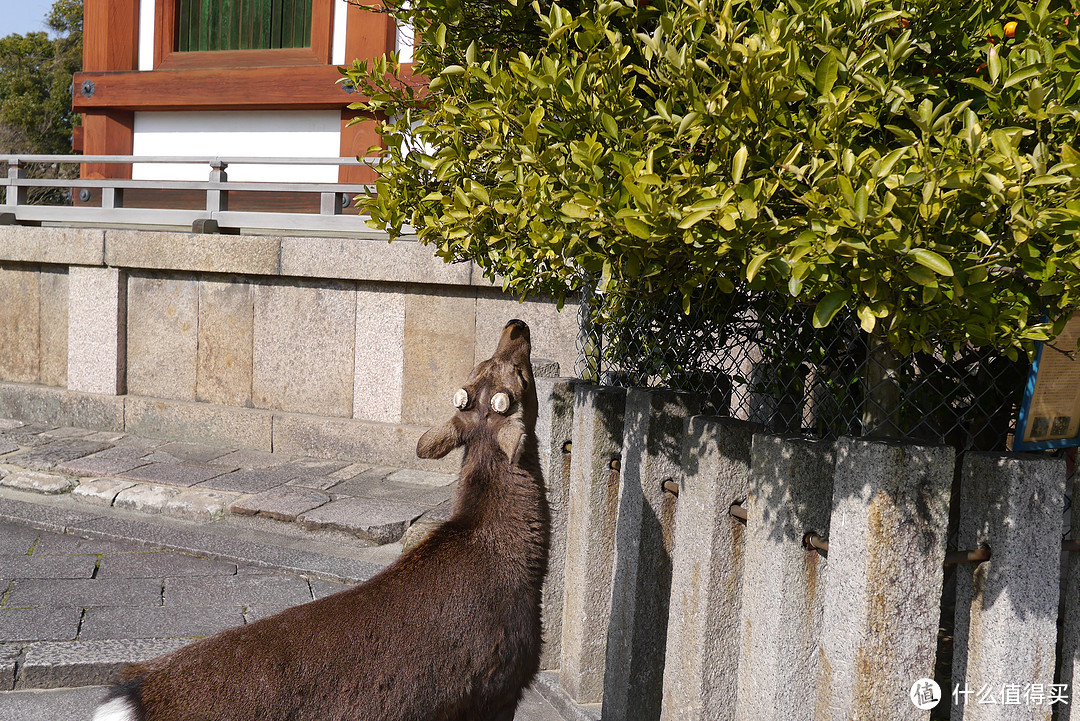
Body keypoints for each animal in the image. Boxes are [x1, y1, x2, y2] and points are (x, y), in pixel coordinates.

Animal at [92, 321, 548, 721]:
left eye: (488, 366)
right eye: (522, 377)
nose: (516, 325)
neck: (524, 571)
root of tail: (129, 699)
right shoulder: (499, 687)